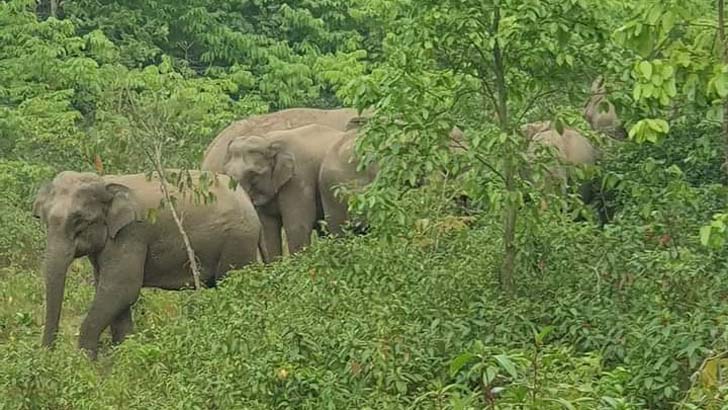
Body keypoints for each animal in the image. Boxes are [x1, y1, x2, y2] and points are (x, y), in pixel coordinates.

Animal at [33, 170, 268, 358]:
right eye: (44, 220)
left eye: (80, 222)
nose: (47, 357)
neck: (106, 183)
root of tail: (249, 203)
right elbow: (111, 292)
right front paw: (122, 356)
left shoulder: (131, 233)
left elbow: (121, 289)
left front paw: (85, 363)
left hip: (237, 241)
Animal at [222, 125, 346, 258]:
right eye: (226, 172)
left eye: (253, 174)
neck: (268, 141)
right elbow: (268, 228)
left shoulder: (299, 179)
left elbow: (296, 226)